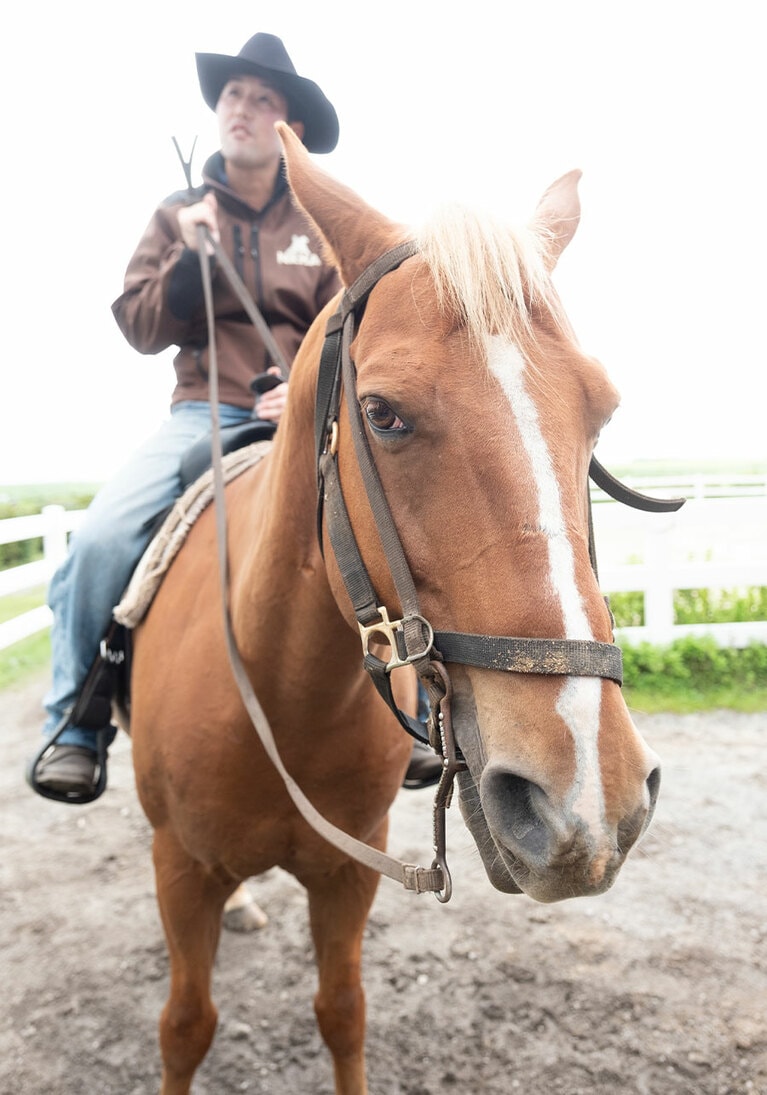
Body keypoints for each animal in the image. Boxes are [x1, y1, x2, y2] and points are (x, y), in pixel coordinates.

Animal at [125, 122, 661, 1094]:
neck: (279, 692)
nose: (587, 799)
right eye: (381, 414)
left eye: (599, 414)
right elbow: (185, 1025)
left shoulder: (349, 871)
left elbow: (343, 1012)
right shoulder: (178, 868)